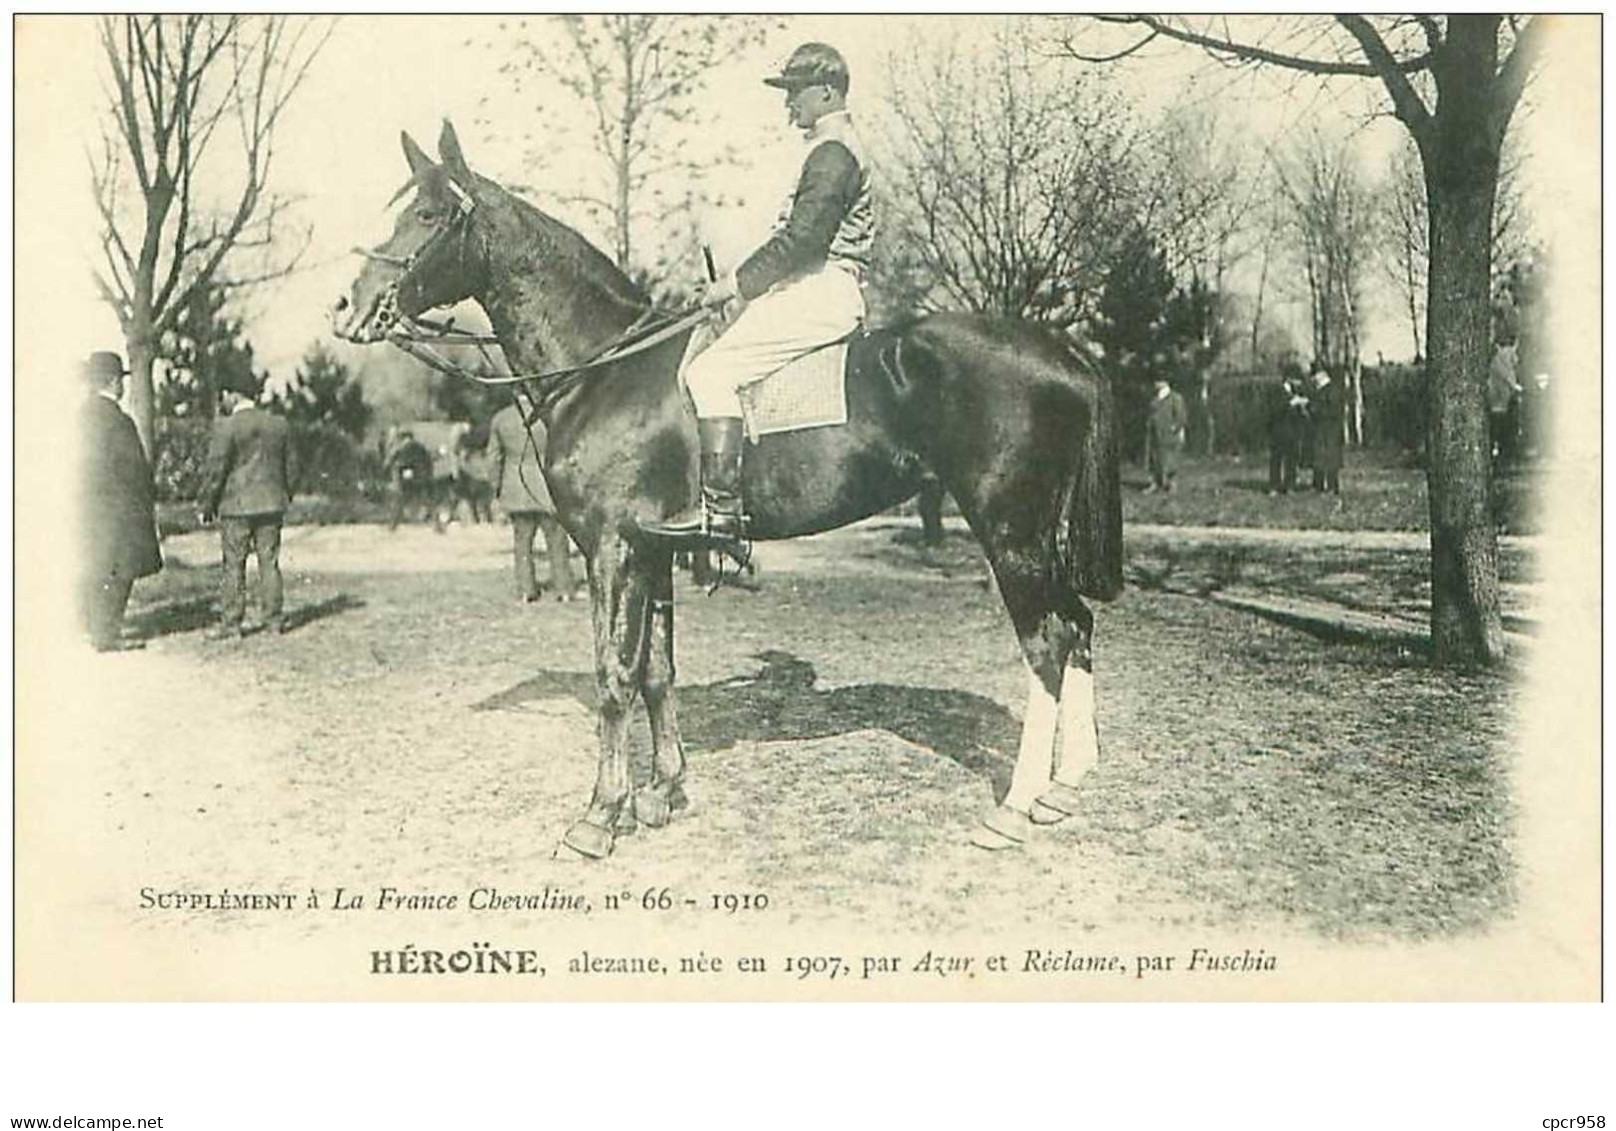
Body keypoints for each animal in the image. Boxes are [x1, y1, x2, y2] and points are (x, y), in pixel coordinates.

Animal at [334, 121, 1118, 859]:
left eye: (429, 214)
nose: (347, 308)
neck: (607, 365)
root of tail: (1067, 353)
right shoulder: (653, 550)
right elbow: (657, 669)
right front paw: (664, 792)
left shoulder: (612, 550)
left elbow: (614, 672)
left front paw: (600, 815)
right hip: (1034, 539)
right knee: (1077, 626)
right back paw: (1067, 787)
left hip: (1009, 533)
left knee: (1048, 643)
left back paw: (1016, 807)